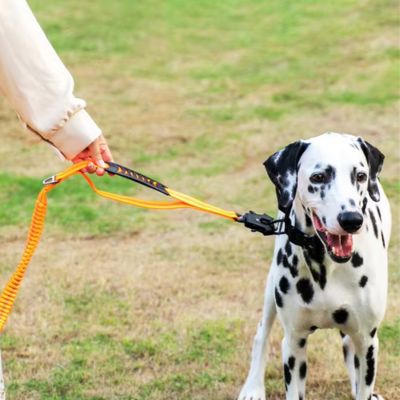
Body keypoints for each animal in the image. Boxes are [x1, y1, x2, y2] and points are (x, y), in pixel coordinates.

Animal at [238, 134, 390, 400]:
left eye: (360, 176)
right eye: (318, 177)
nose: (351, 220)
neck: (326, 264)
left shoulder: (368, 343)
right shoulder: (294, 344)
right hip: (271, 289)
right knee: (261, 333)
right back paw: (253, 387)